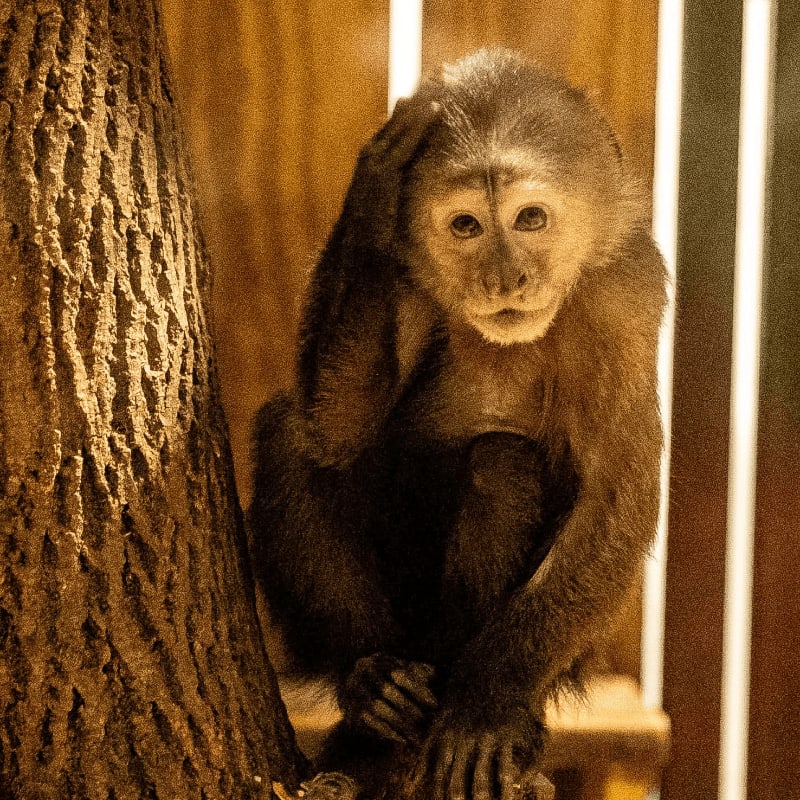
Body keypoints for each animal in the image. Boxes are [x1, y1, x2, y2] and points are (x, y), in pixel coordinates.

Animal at [247, 48, 666, 800]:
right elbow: (334, 428)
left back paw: (466, 700)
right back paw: (372, 694)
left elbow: (617, 496)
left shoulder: (627, 298)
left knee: (500, 463)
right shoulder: (410, 279)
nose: (505, 281)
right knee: (292, 433)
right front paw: (373, 187)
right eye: (467, 226)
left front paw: (489, 705)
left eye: (530, 219)